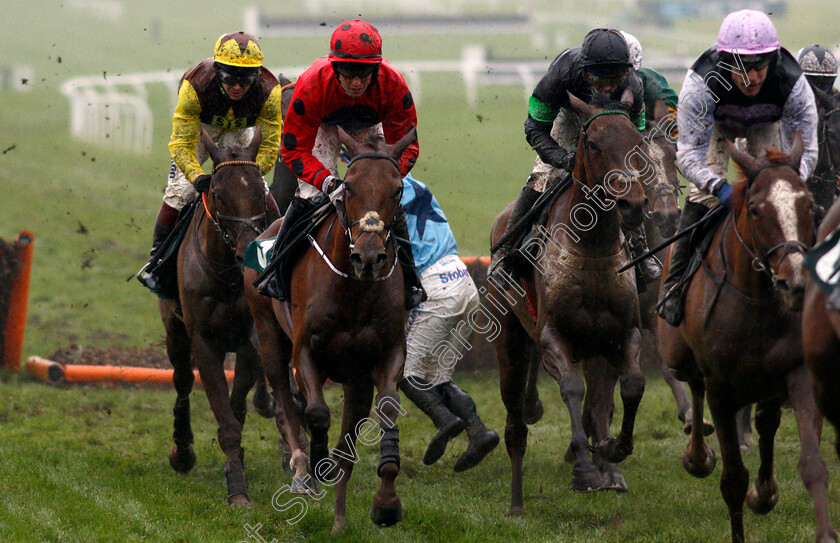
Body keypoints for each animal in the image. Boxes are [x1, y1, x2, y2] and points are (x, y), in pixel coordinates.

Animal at [160, 127, 272, 506]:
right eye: (219, 195)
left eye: (260, 193)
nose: (248, 251)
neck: (226, 274)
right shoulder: (203, 341)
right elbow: (223, 414)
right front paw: (237, 487)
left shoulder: (250, 341)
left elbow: (235, 411)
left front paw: (235, 468)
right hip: (175, 331)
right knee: (181, 381)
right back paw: (182, 451)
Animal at [243, 127, 416, 532]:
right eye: (349, 186)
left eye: (398, 189)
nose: (368, 258)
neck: (354, 289)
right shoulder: (306, 350)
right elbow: (317, 413)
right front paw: (316, 465)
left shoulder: (383, 356)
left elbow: (385, 411)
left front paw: (386, 503)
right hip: (269, 336)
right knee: (286, 401)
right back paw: (302, 471)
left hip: (354, 379)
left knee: (345, 439)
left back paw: (338, 517)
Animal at [492, 91, 648, 512]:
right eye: (593, 144)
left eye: (638, 142)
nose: (633, 205)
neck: (592, 248)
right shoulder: (551, 336)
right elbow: (571, 389)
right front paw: (584, 470)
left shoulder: (621, 334)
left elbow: (631, 385)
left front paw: (613, 451)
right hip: (510, 339)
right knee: (515, 422)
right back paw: (515, 503)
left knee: (599, 402)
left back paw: (610, 468)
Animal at [660, 137, 836, 543]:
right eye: (755, 210)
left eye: (809, 204)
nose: (795, 282)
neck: (755, 298)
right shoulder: (721, 388)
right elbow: (733, 479)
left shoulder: (798, 372)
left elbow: (812, 464)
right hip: (679, 353)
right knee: (692, 383)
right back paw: (697, 456)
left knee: (766, 421)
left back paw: (764, 490)